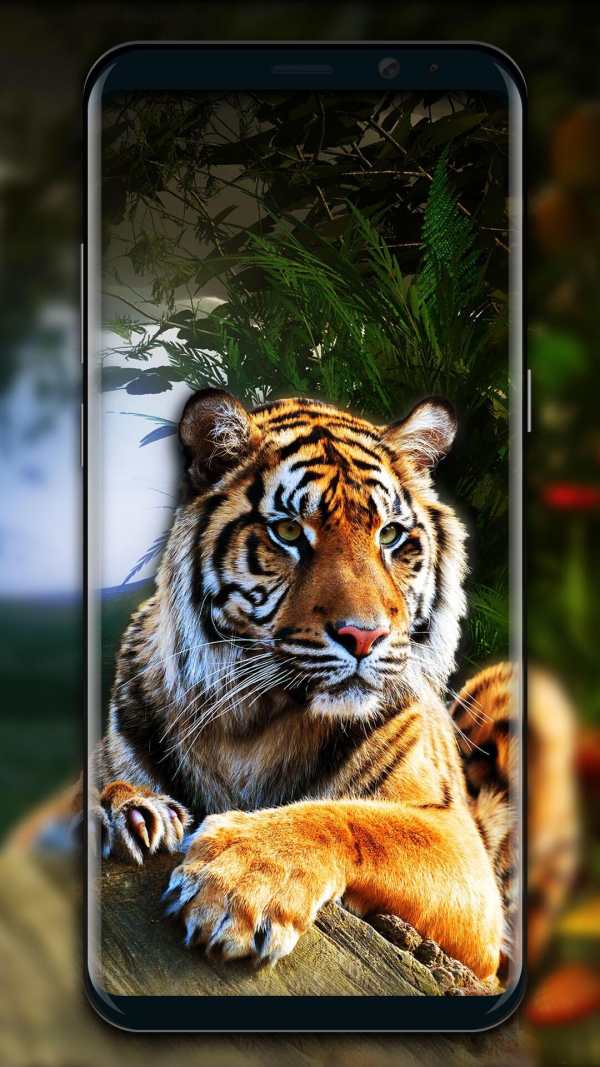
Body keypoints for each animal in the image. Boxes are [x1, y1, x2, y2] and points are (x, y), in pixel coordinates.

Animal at [91, 387, 518, 981]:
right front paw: (132, 810)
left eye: (390, 535)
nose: (364, 636)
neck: (252, 725)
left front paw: (239, 882)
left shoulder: (460, 852)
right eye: (290, 532)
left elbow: (360, 822)